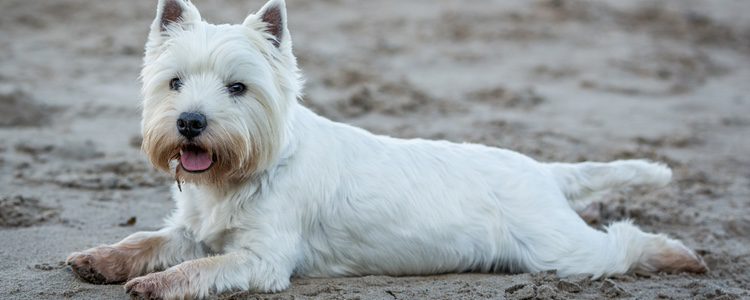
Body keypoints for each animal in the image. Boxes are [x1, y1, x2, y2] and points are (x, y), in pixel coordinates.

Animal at [67, 0, 708, 298]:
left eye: (238, 87)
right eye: (174, 82)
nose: (191, 123)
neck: (240, 174)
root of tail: (544, 171)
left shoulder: (263, 258)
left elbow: (202, 267)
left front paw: (154, 285)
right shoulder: (191, 227)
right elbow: (148, 242)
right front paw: (98, 260)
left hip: (557, 250)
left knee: (620, 244)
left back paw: (679, 256)